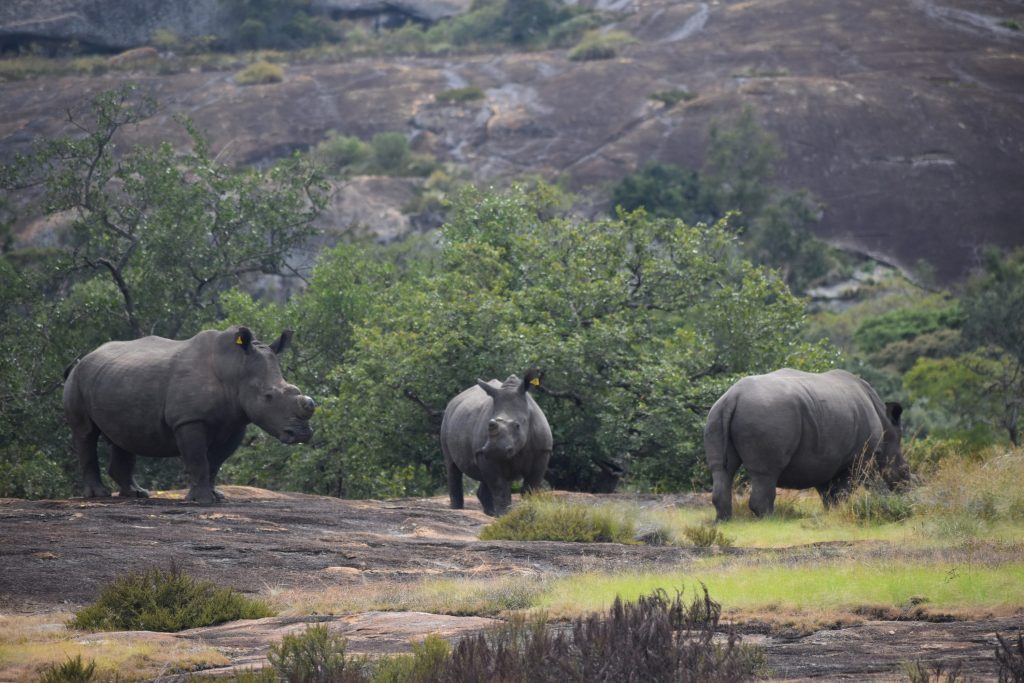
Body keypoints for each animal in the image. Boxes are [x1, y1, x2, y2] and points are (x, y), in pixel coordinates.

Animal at [63, 326, 315, 504]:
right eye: (268, 396)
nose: (302, 434)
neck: (235, 368)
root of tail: (84, 357)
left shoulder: (235, 423)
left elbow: (215, 462)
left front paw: (217, 496)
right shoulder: (189, 420)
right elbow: (198, 459)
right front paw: (202, 501)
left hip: (113, 379)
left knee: (121, 435)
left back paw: (136, 494)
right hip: (77, 379)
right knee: (85, 433)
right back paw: (99, 495)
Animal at [440, 368, 552, 516]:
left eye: (517, 426)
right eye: (489, 424)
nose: (494, 449)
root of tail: (453, 401)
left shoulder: (543, 452)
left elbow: (531, 486)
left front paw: (527, 509)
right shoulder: (483, 453)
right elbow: (498, 485)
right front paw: (504, 515)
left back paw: (490, 512)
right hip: (447, 417)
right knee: (452, 465)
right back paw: (457, 508)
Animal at [704, 368, 910, 520]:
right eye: (904, 468)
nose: (907, 486)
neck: (885, 422)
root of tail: (733, 397)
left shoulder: (823, 459)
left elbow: (827, 491)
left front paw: (832, 512)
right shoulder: (858, 459)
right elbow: (845, 488)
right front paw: (841, 511)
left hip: (716, 414)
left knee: (722, 469)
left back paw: (724, 520)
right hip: (767, 414)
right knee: (766, 473)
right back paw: (770, 520)